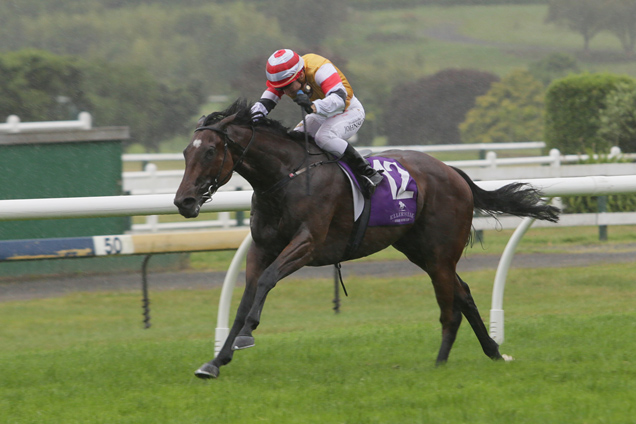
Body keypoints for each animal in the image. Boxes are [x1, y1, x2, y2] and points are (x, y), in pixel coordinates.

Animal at [173, 98, 556, 378]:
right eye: (185, 152)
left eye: (210, 151)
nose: (183, 201)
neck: (287, 176)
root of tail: (453, 172)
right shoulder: (261, 246)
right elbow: (244, 299)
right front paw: (215, 361)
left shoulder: (308, 243)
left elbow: (266, 282)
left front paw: (247, 334)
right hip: (419, 250)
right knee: (462, 294)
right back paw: (493, 351)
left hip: (439, 254)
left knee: (450, 307)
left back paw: (440, 362)